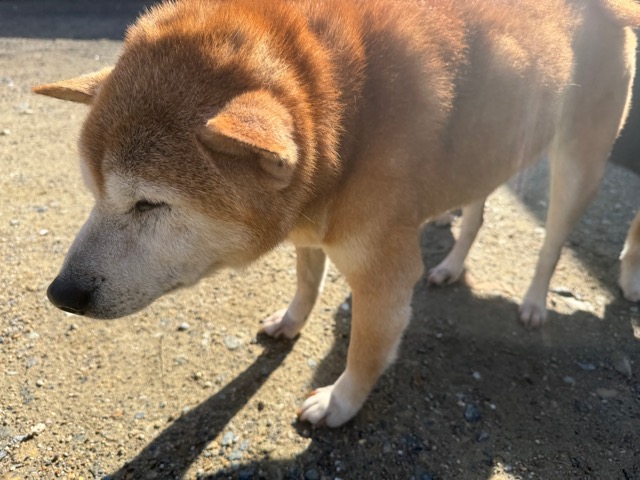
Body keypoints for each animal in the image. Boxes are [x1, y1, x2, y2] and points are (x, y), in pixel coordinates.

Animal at [34, 0, 640, 427]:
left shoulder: (384, 277)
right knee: (476, 213)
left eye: (149, 203)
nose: (61, 294)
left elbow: (367, 350)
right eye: (93, 192)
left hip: (576, 165)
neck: (349, 114)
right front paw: (291, 321)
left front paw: (338, 404)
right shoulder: (308, 224)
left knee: (552, 242)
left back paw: (534, 301)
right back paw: (451, 261)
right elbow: (307, 282)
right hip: (493, 146)